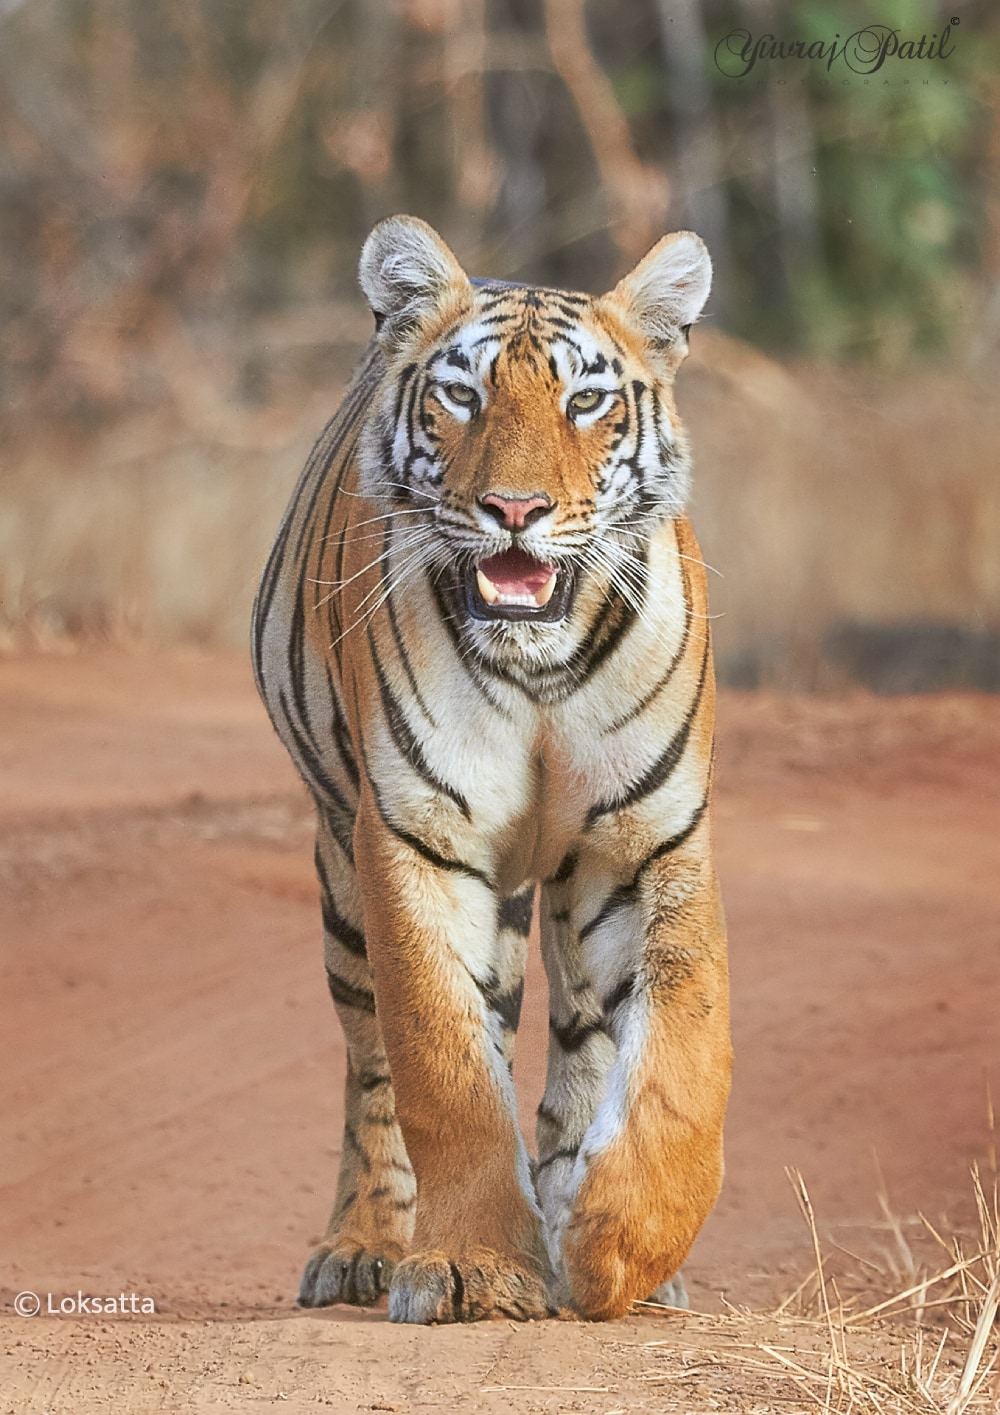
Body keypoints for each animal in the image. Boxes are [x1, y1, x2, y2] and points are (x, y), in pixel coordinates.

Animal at [250, 215, 735, 1318]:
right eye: (462, 396)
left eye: (585, 401)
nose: (516, 508)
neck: (541, 664)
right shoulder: (417, 836)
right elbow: (444, 1062)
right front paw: (472, 1265)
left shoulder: (651, 843)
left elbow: (685, 1050)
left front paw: (619, 1245)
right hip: (345, 870)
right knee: (373, 1070)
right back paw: (363, 1246)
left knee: (585, 1038)